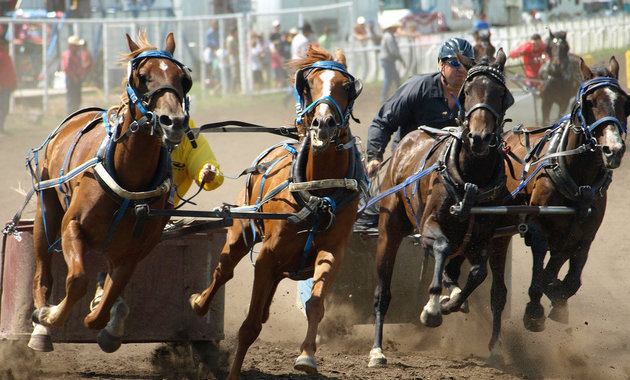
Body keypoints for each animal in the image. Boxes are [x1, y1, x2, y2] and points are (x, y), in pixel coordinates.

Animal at [25, 31, 193, 354]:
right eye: (142, 76)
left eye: (183, 78)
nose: (174, 122)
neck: (128, 178)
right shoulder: (71, 226)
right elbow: (77, 280)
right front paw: (50, 315)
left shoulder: (134, 252)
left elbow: (105, 306)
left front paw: (107, 319)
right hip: (46, 212)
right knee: (42, 273)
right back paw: (40, 326)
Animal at [188, 45, 366, 380]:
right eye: (309, 84)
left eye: (346, 86)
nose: (324, 124)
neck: (318, 192)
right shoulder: (267, 257)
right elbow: (248, 327)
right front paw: (233, 374)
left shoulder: (332, 252)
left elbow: (316, 304)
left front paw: (307, 356)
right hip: (240, 234)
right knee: (223, 271)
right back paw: (199, 302)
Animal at [368, 49, 516, 366]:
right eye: (468, 92)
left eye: (501, 93)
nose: (479, 138)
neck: (471, 178)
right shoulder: (430, 226)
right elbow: (440, 248)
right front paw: (433, 308)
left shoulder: (482, 238)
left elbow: (478, 274)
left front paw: (452, 303)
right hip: (389, 231)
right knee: (382, 292)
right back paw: (377, 350)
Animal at [492, 58, 628, 360]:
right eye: (589, 102)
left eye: (625, 102)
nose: (613, 149)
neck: (578, 178)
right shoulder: (538, 228)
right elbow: (540, 273)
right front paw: (534, 311)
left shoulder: (583, 236)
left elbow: (569, 280)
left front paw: (558, 298)